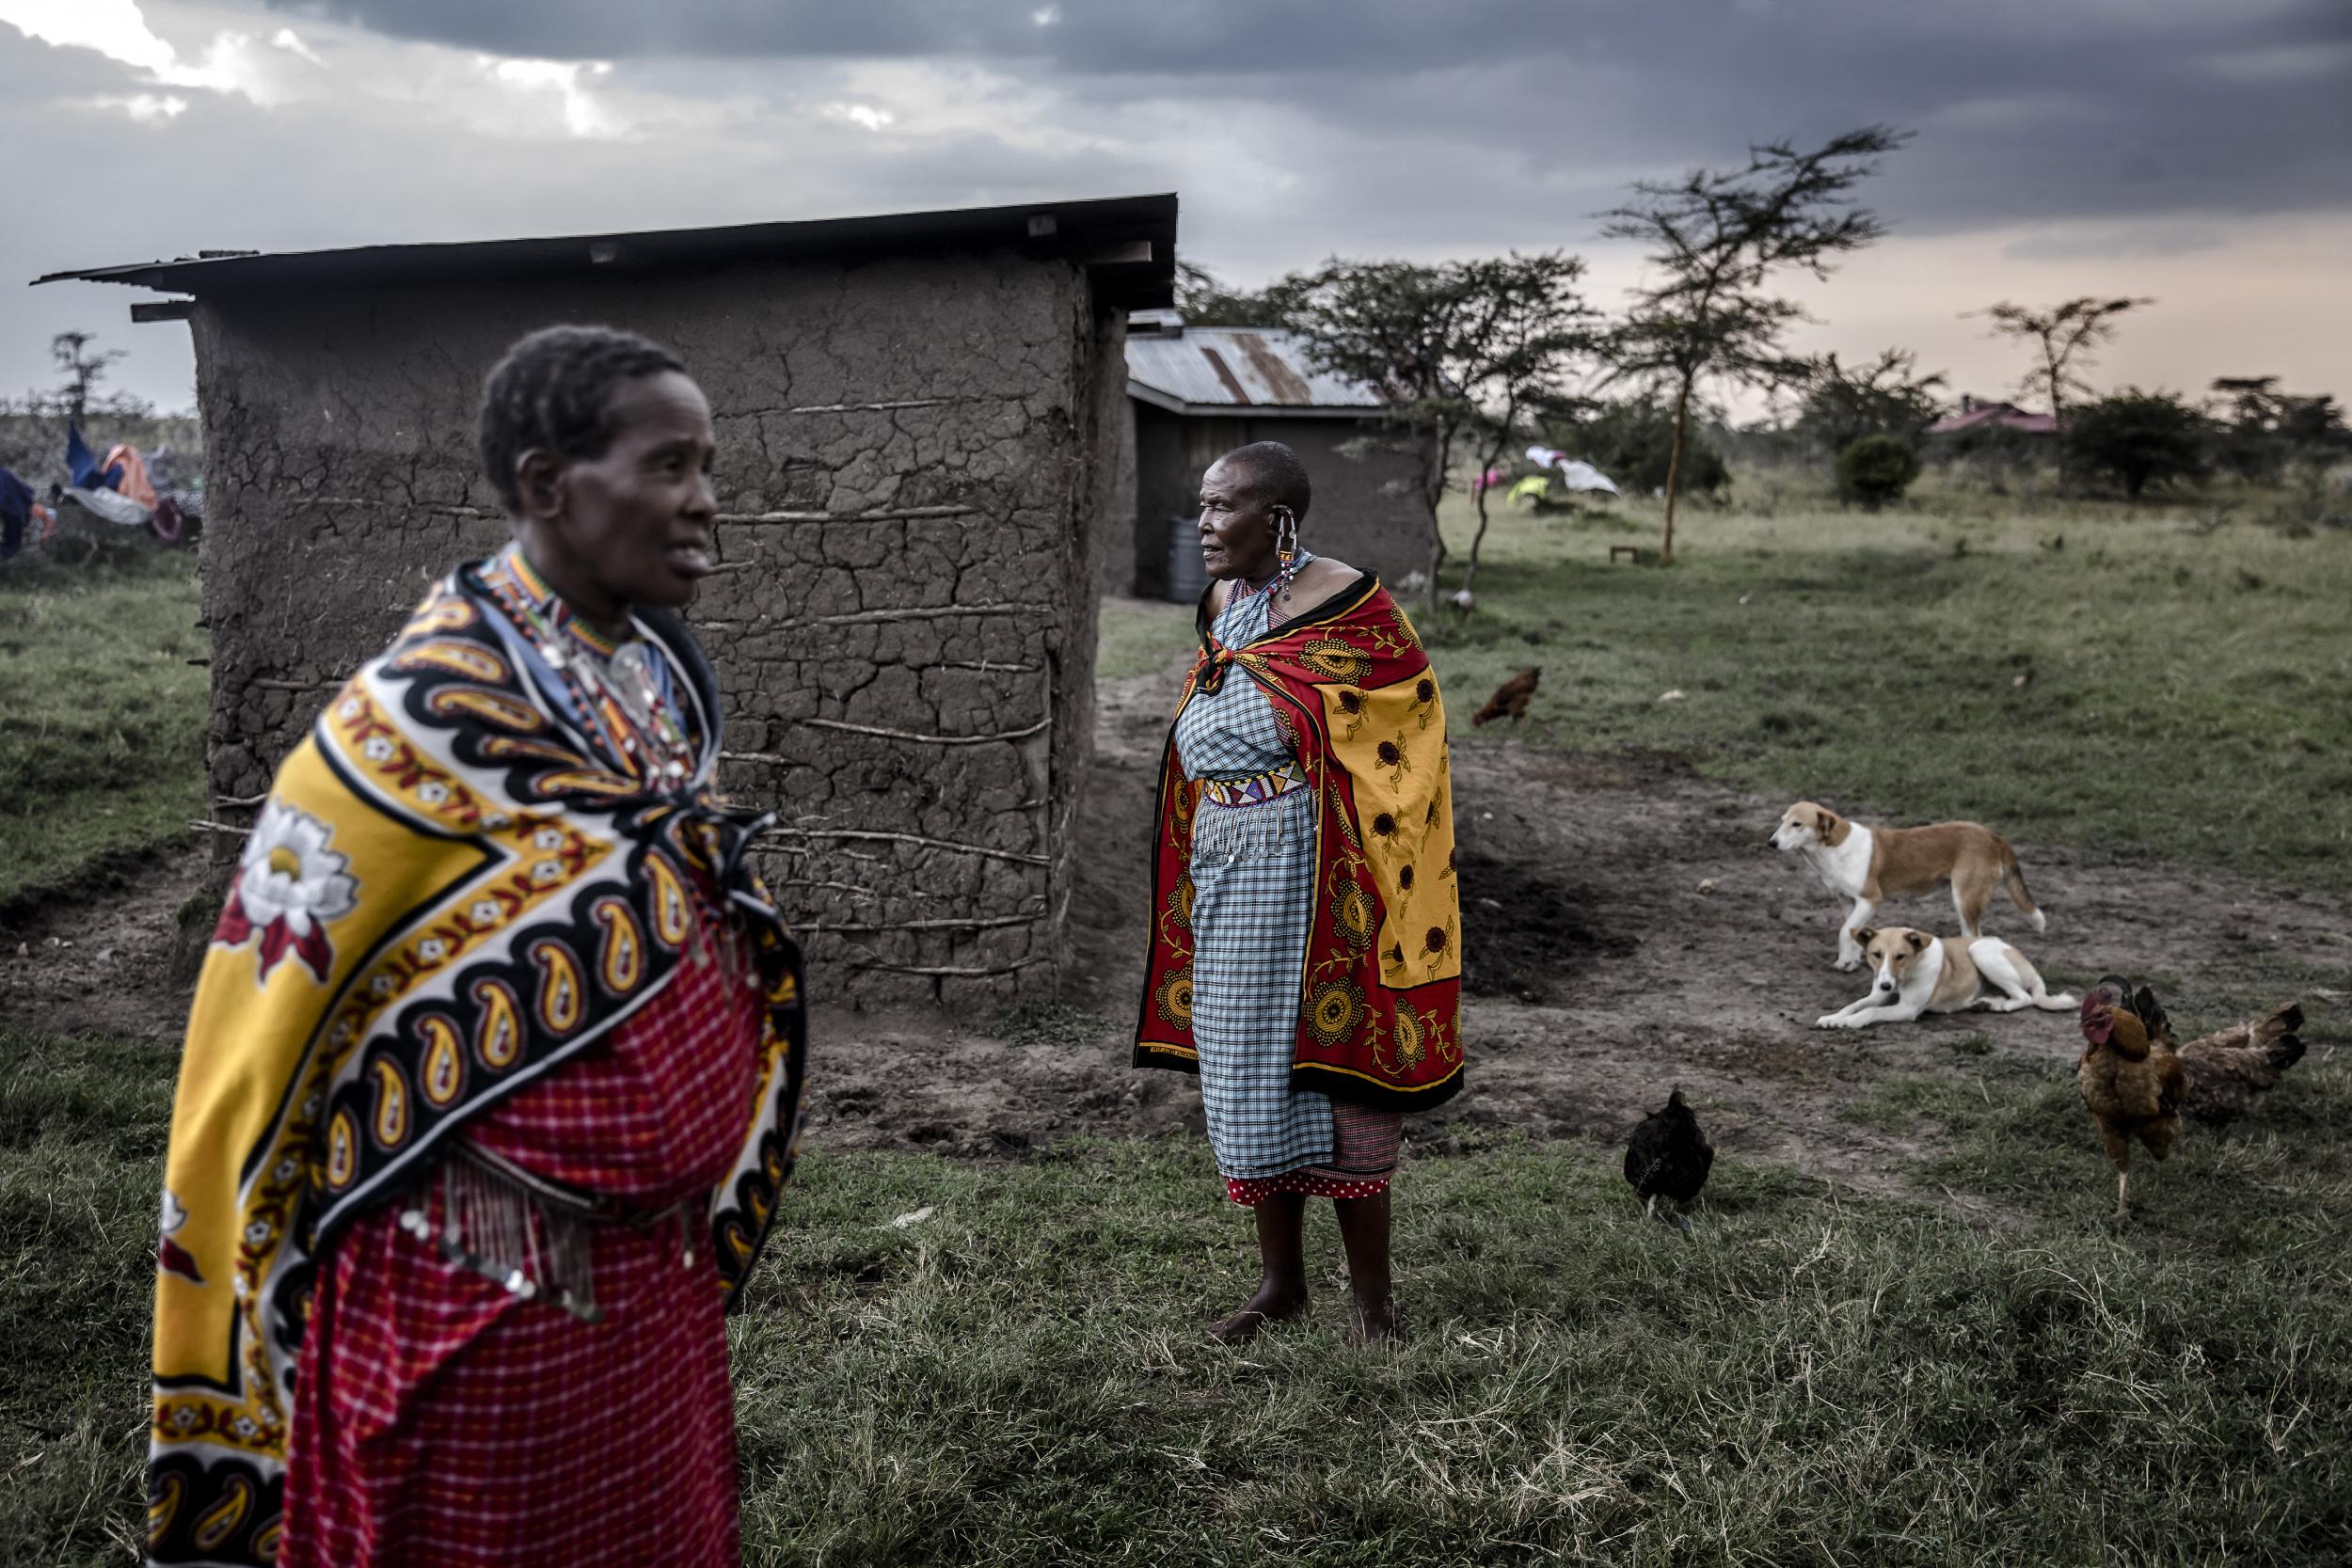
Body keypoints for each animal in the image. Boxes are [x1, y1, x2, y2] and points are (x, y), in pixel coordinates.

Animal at [1816, 930, 2079, 1029]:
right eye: (1876, 954)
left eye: (1901, 956)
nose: (1886, 984)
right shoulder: (1878, 995)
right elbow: (1855, 1004)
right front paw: (1832, 1018)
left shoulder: (1907, 1009)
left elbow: (1870, 1012)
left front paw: (1848, 1022)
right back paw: (1986, 1002)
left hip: (1979, 950)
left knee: (2025, 996)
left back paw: (1999, 1005)